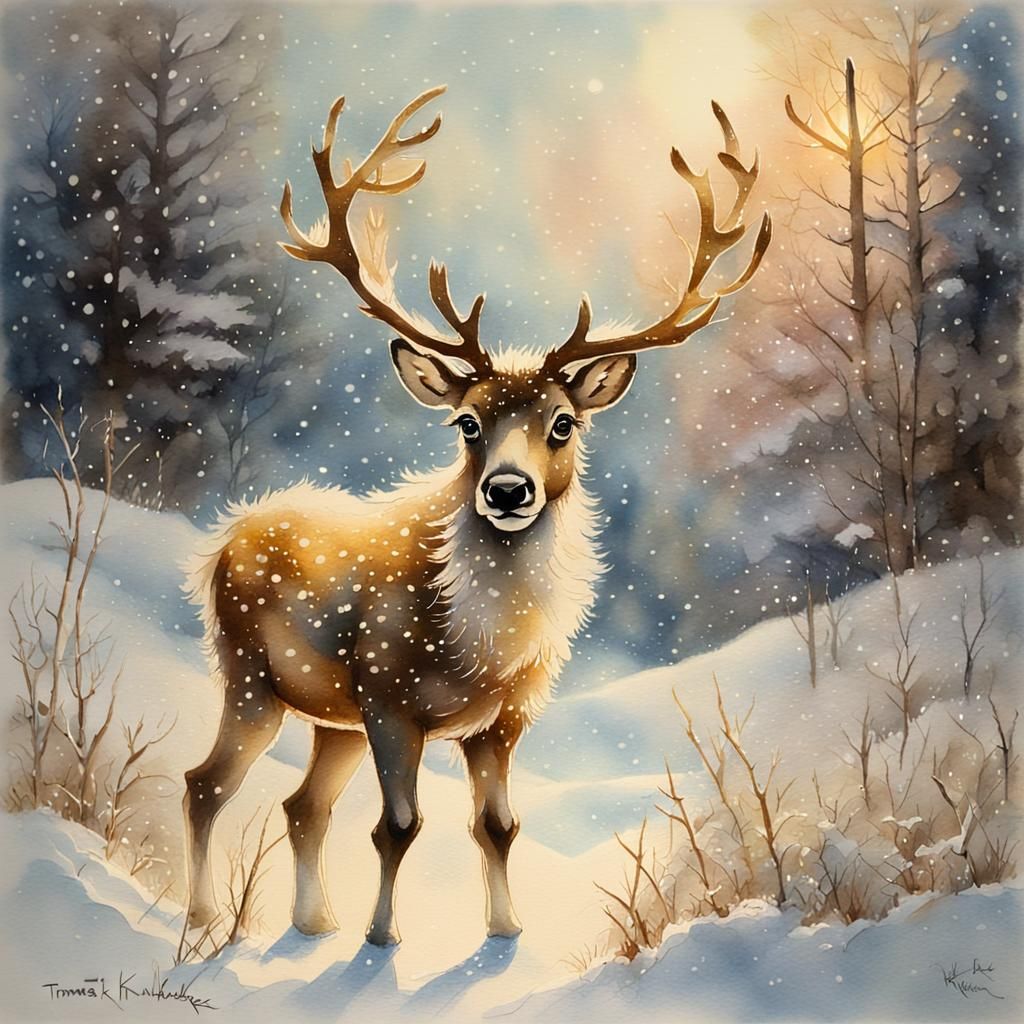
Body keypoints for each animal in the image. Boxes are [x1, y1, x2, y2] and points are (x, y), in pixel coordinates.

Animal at [183, 85, 770, 947]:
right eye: (467, 422)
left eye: (563, 422)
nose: (508, 490)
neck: (479, 648)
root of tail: (223, 540)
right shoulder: (390, 698)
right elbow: (398, 827)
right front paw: (383, 939)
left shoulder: (504, 720)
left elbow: (497, 826)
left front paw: (505, 931)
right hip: (250, 677)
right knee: (205, 783)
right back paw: (202, 918)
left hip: (330, 719)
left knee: (300, 806)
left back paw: (314, 922)